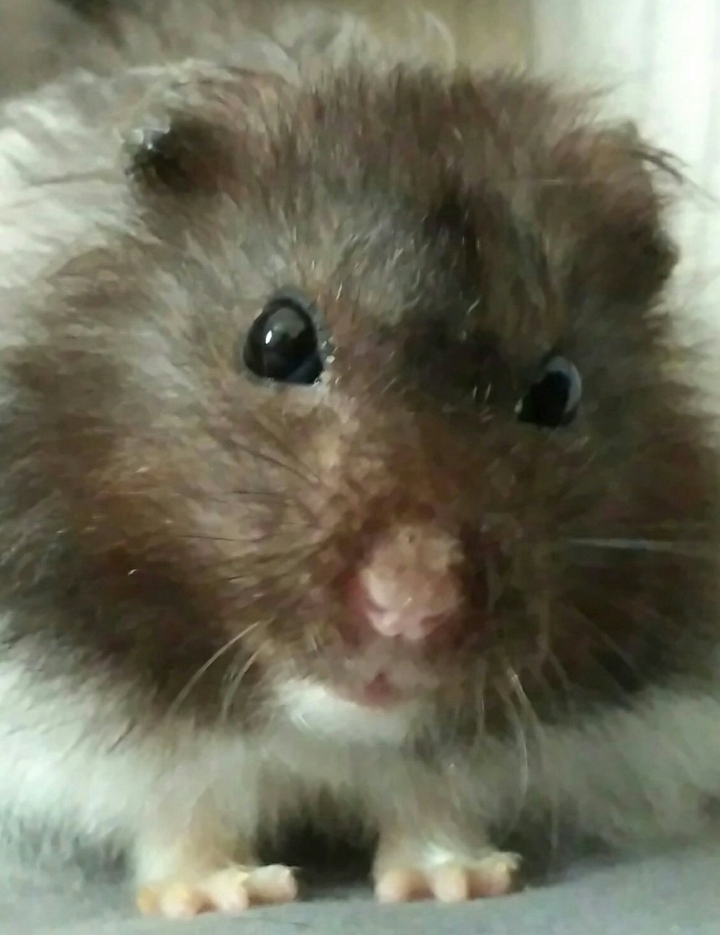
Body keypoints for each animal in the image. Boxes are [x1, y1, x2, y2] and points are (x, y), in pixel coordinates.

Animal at [0, 0, 720, 920]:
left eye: (558, 390)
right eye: (278, 341)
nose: (409, 607)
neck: (326, 737)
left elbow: (432, 802)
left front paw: (457, 880)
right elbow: (184, 816)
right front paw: (221, 895)